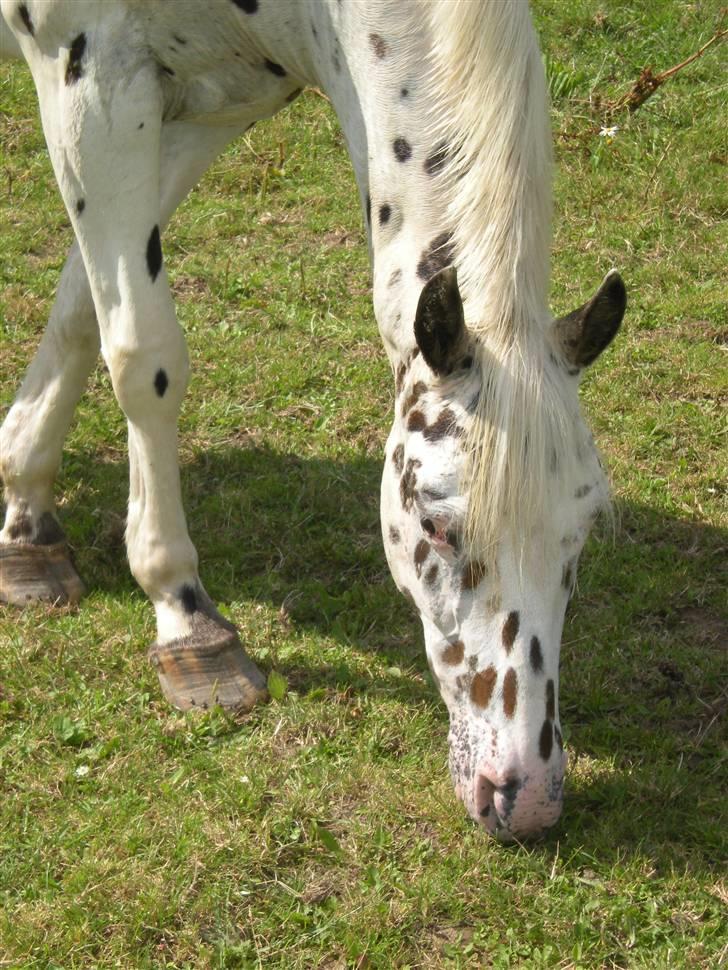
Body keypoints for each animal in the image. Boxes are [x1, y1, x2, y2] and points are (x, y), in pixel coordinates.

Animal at [1, 0, 624, 836]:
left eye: (580, 536)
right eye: (435, 526)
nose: (523, 797)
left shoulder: (202, 106)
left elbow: (80, 309)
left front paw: (25, 516)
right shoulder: (90, 81)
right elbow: (142, 356)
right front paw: (185, 615)